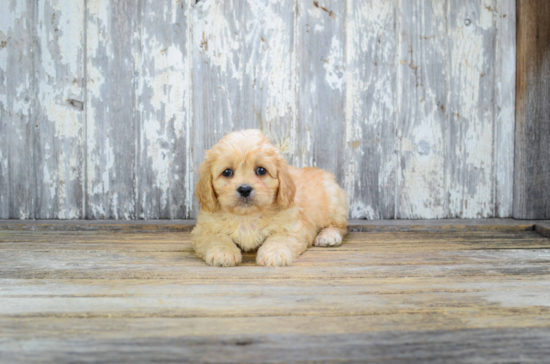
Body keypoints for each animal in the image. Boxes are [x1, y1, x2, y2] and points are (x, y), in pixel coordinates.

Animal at [192, 129, 348, 266]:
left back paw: (328, 236)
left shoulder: (292, 227)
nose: (244, 189)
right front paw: (223, 253)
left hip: (333, 202)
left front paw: (275, 254)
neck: (246, 216)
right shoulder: (204, 229)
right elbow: (217, 237)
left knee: (339, 226)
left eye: (261, 170)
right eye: (227, 172)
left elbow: (279, 238)